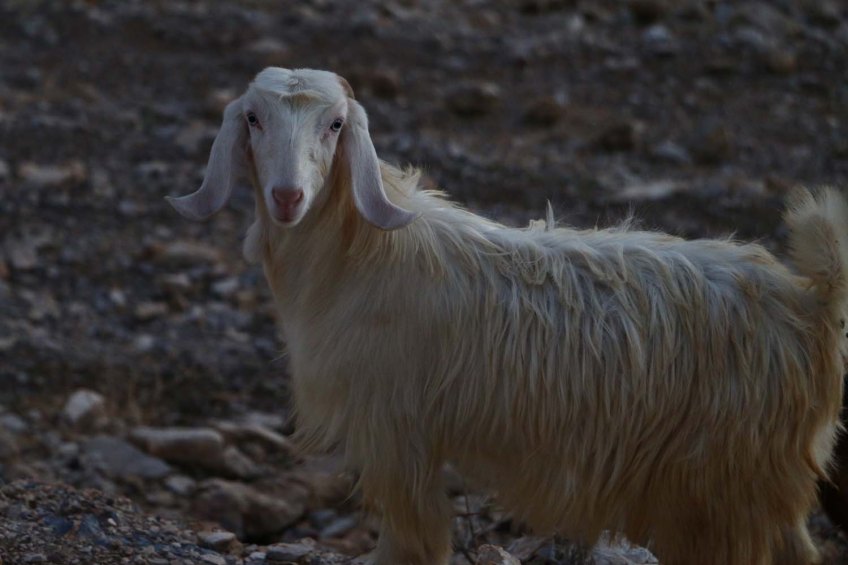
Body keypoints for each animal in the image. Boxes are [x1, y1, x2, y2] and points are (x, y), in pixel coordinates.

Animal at [168, 67, 848, 565]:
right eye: (253, 118)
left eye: (335, 124)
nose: (288, 197)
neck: (359, 256)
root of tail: (811, 299)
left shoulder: (395, 431)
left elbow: (413, 536)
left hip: (728, 484)